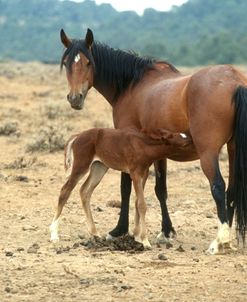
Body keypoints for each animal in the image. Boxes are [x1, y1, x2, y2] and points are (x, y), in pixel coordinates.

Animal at [49, 127, 190, 248]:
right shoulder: (135, 173)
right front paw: (145, 241)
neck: (143, 146)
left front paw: (137, 237)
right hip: (81, 166)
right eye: (183, 143)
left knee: (84, 190)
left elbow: (137, 202)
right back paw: (54, 234)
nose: (191, 139)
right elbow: (142, 205)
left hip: (99, 167)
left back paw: (95, 232)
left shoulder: (143, 174)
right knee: (65, 190)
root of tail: (77, 136)